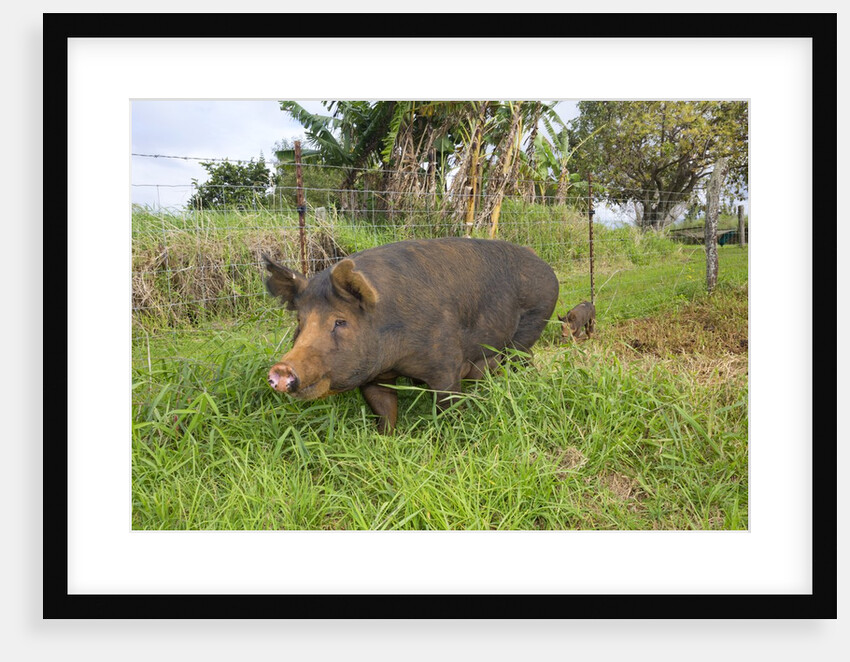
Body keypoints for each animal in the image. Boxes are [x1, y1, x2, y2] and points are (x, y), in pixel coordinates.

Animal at [263, 237, 559, 433]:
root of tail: (542, 262)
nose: (281, 369)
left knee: (520, 359)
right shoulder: (375, 377)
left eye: (340, 321)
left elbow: (448, 405)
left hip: (534, 319)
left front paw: (451, 437)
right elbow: (384, 410)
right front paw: (385, 439)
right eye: (299, 322)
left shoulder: (446, 365)